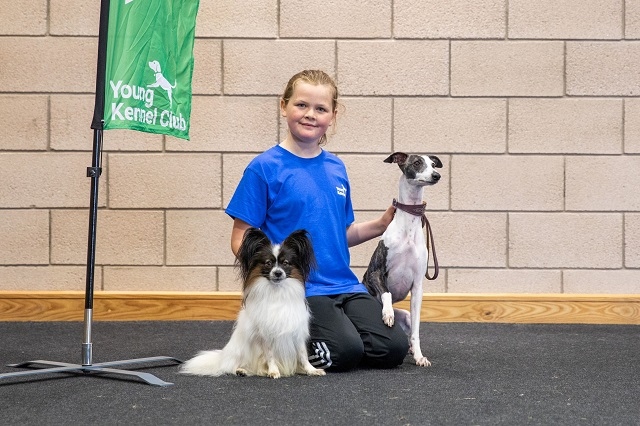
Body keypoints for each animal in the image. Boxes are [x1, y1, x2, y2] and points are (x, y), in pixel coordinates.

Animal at [180, 228, 324, 378]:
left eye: (285, 263)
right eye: (268, 263)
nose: (278, 273)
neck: (277, 292)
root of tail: (223, 357)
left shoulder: (296, 331)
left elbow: (303, 355)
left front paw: (311, 370)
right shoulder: (265, 334)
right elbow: (270, 355)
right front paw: (273, 371)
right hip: (241, 351)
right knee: (232, 366)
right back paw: (241, 370)